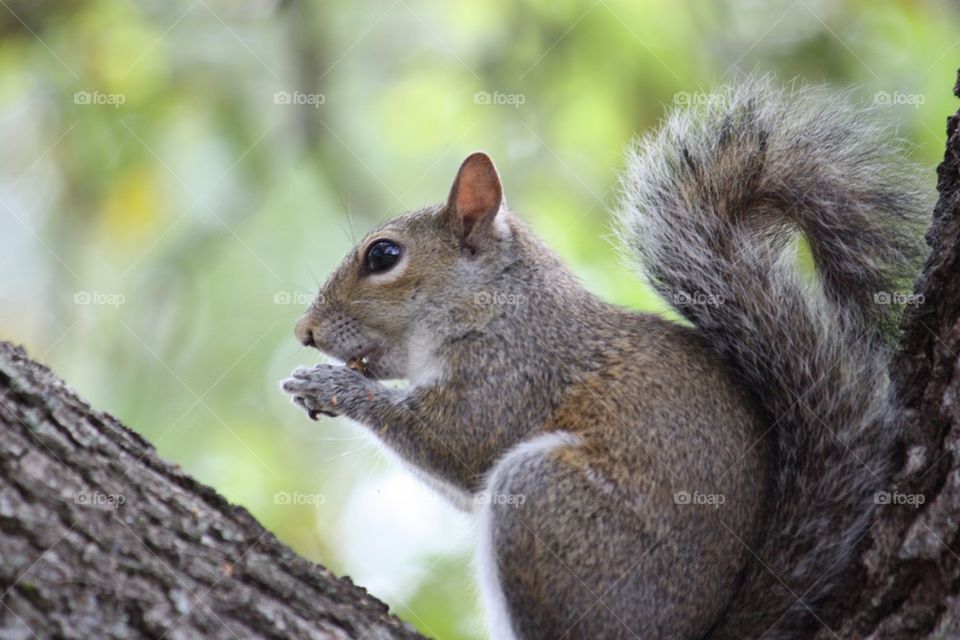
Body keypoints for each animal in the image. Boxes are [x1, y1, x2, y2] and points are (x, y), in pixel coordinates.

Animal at [282, 79, 928, 640]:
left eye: (384, 255)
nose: (303, 331)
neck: (497, 306)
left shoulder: (515, 372)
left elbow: (458, 444)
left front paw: (330, 386)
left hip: (549, 505)